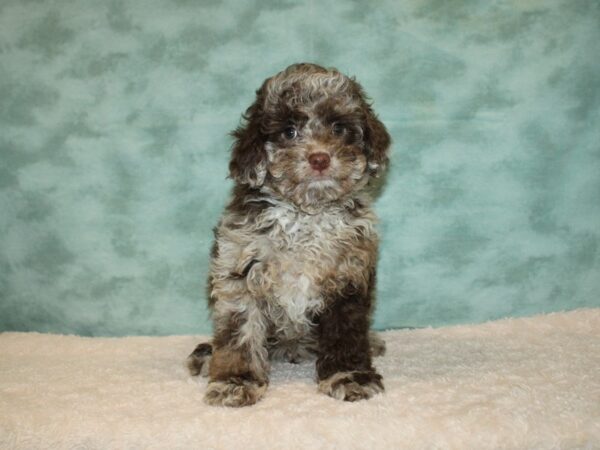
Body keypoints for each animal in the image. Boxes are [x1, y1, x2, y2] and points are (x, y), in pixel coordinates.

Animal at [189, 64, 394, 408]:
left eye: (339, 128)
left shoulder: (349, 276)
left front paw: (349, 376)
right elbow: (239, 333)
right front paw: (235, 381)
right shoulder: (239, 269)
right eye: (288, 132)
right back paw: (207, 355)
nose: (320, 158)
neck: (305, 216)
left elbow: (346, 333)